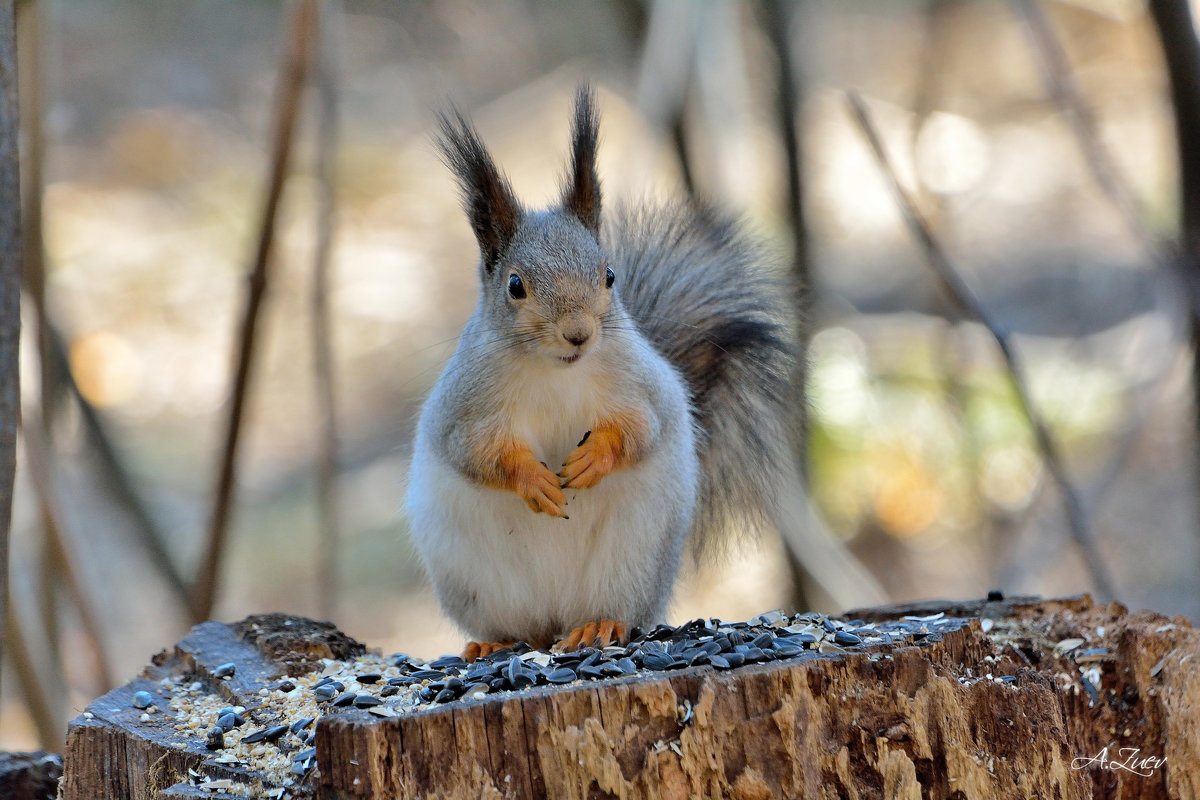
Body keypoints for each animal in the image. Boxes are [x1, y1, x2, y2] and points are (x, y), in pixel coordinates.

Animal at [408, 87, 820, 662]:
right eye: (515, 285)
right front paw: (533, 477)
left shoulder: (645, 384)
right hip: (473, 578)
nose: (579, 334)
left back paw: (597, 627)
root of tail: (555, 622)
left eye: (608, 276)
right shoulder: (464, 404)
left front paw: (593, 458)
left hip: (634, 558)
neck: (557, 372)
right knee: (515, 627)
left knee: (608, 610)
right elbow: (473, 451)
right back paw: (496, 643)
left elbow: (644, 428)